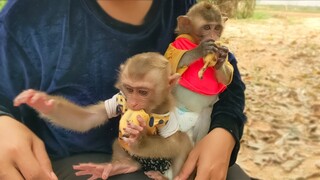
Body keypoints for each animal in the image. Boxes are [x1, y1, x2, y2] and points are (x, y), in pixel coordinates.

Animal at [13, 51, 192, 179]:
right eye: (129, 89)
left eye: (142, 92)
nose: (133, 103)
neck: (150, 109)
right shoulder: (119, 99)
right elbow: (87, 119)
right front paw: (42, 102)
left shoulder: (168, 116)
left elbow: (174, 144)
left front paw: (139, 140)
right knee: (119, 144)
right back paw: (123, 166)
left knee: (183, 142)